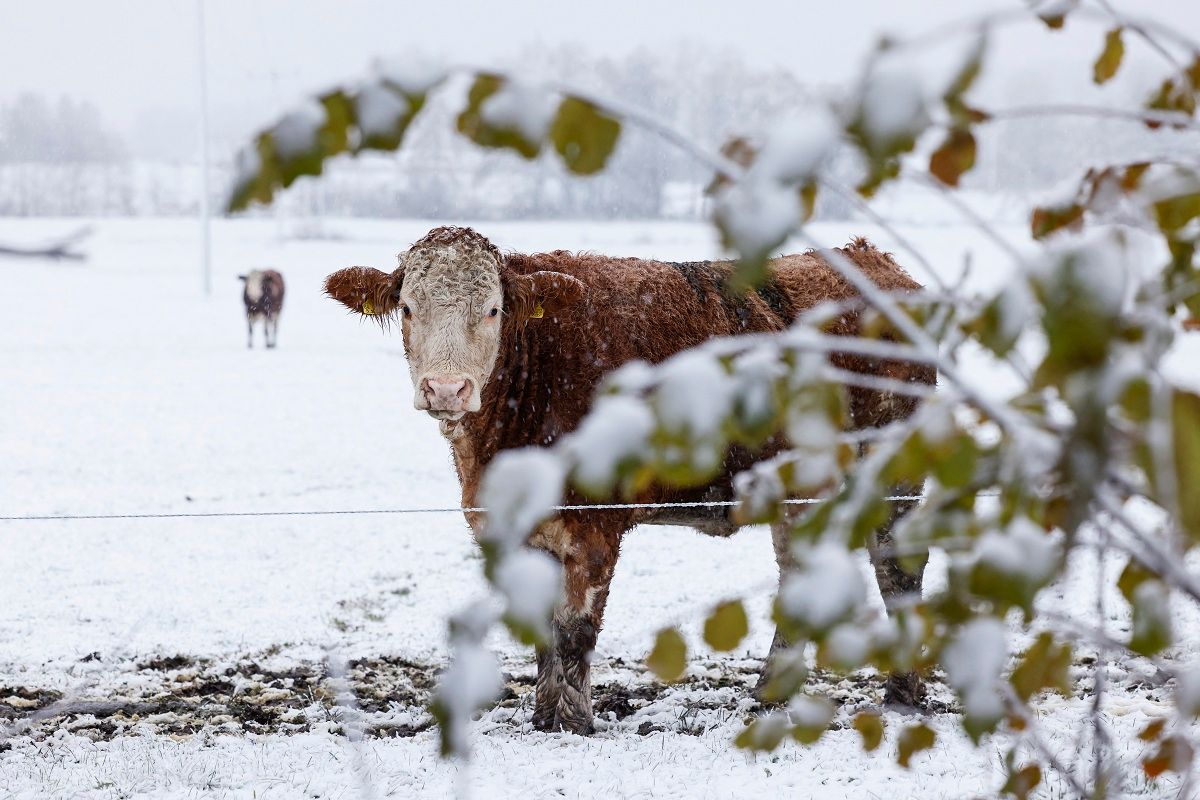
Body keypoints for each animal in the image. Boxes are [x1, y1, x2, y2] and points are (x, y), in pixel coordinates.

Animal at [324, 224, 931, 734]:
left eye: (494, 309)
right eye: (407, 307)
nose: (446, 388)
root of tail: (872, 259)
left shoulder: (594, 521)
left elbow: (575, 631)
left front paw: (573, 724)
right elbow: (542, 631)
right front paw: (542, 717)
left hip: (895, 471)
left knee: (897, 569)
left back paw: (902, 694)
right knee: (801, 575)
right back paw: (770, 696)